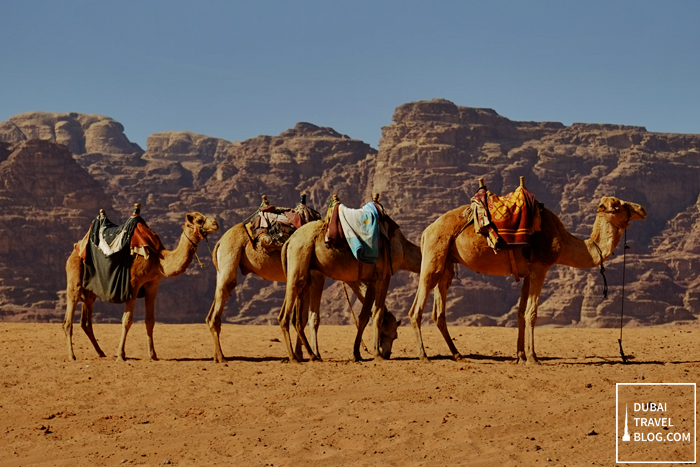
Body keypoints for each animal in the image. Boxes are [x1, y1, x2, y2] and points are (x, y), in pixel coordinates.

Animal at [65, 208, 220, 362]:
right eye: (199, 220)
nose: (216, 223)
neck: (158, 259)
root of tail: (75, 249)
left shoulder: (153, 284)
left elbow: (150, 320)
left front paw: (153, 355)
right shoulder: (133, 284)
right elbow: (127, 320)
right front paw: (120, 355)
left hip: (90, 290)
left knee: (86, 321)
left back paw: (101, 353)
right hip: (75, 279)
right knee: (69, 316)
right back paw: (72, 355)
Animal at [408, 179, 648, 366]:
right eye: (620, 205)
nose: (642, 209)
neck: (563, 241)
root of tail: (427, 230)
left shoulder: (526, 273)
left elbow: (520, 313)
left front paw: (520, 356)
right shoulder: (540, 268)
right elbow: (532, 313)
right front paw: (533, 358)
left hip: (446, 264)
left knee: (439, 312)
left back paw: (458, 355)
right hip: (434, 255)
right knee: (416, 308)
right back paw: (424, 356)